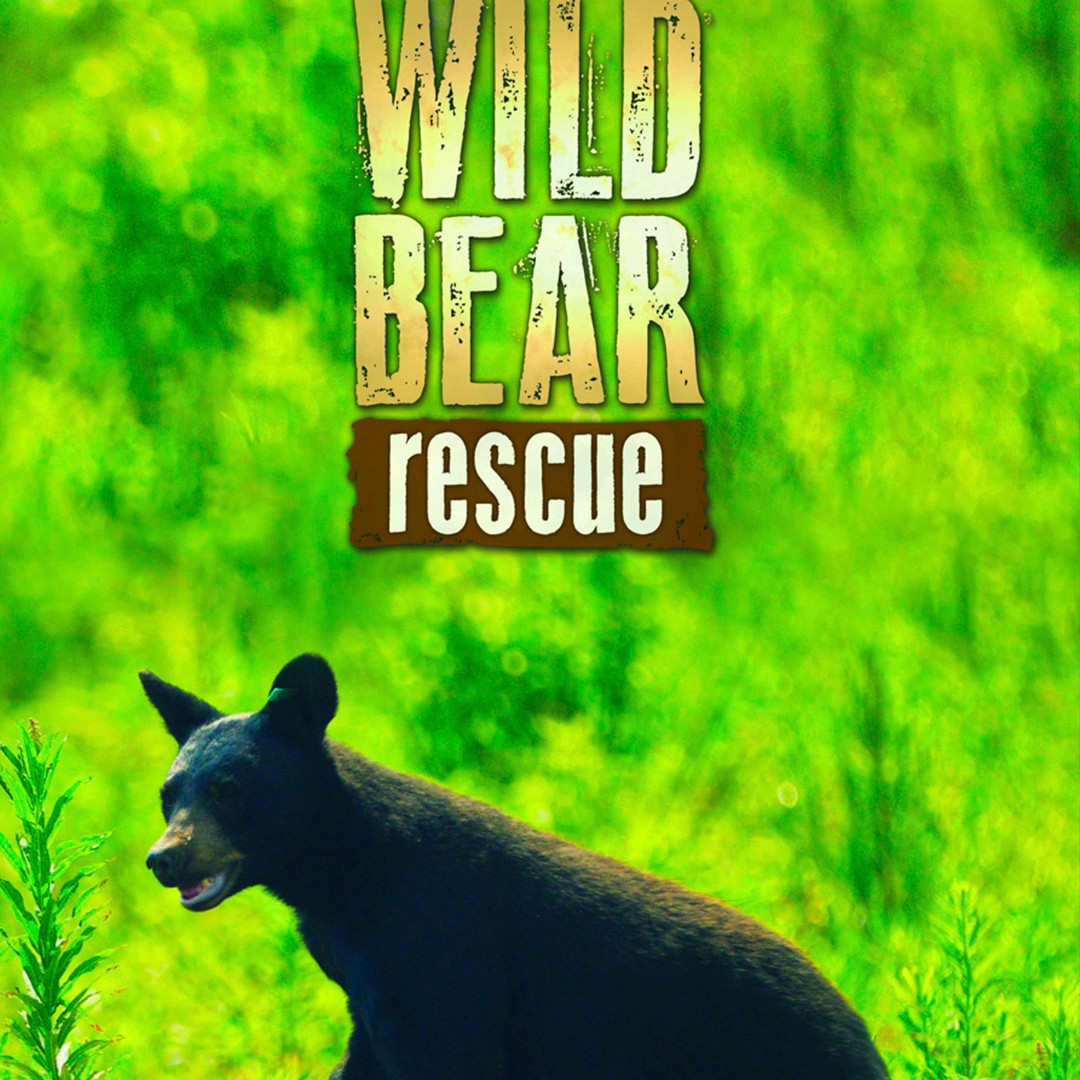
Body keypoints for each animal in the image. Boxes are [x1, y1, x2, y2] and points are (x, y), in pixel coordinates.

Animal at [143, 653, 889, 1080]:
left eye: (230, 789)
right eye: (168, 794)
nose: (162, 857)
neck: (340, 882)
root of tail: (861, 1034)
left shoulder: (444, 964)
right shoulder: (371, 989)